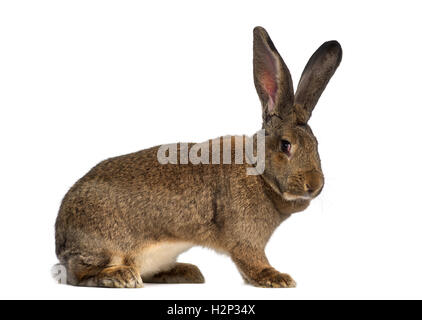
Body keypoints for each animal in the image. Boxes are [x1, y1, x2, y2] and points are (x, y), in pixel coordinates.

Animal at [54, 26, 342, 288]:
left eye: (316, 144)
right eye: (285, 145)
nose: (315, 184)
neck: (258, 173)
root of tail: (60, 237)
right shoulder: (244, 238)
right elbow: (252, 260)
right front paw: (276, 278)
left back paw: (186, 271)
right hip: (105, 246)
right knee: (79, 274)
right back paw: (120, 276)